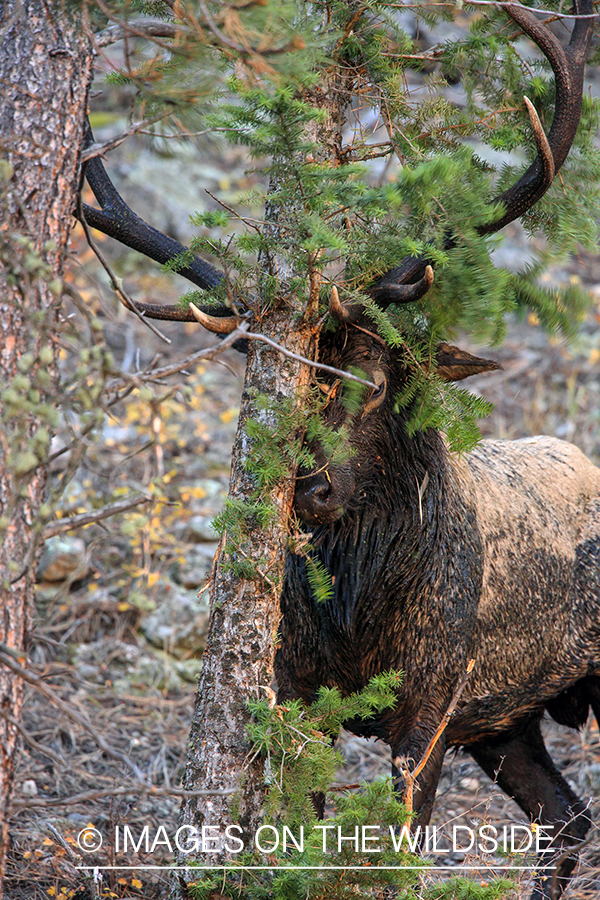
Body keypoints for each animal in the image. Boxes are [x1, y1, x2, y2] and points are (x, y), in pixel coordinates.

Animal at [82, 3, 596, 896]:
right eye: (280, 375)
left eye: (381, 376)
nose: (310, 488)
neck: (358, 609)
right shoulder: (298, 687)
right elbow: (301, 835)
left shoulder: (433, 696)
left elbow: (392, 855)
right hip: (510, 719)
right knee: (567, 818)